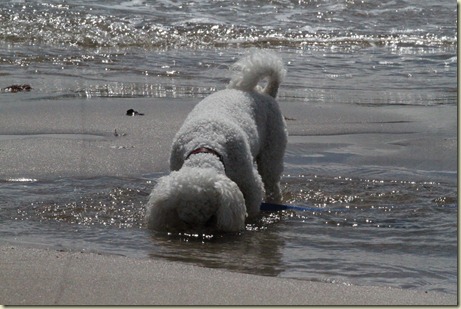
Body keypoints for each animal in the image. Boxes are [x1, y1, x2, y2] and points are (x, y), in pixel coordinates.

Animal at [146, 50, 286, 231]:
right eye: (186, 221)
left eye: (210, 219)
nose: (197, 235)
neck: (205, 143)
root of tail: (266, 93)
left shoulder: (251, 184)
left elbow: (252, 204)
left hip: (272, 150)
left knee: (272, 182)